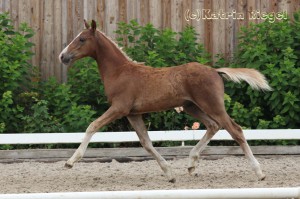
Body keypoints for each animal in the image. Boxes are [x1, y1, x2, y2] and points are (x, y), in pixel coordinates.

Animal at [59, 19, 270, 182]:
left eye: (82, 39)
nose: (63, 56)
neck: (119, 72)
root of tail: (215, 71)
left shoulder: (119, 108)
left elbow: (92, 126)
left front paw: (70, 162)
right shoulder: (133, 114)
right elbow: (146, 143)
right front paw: (169, 174)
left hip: (212, 105)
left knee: (235, 130)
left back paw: (259, 172)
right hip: (191, 106)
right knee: (213, 126)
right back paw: (191, 164)